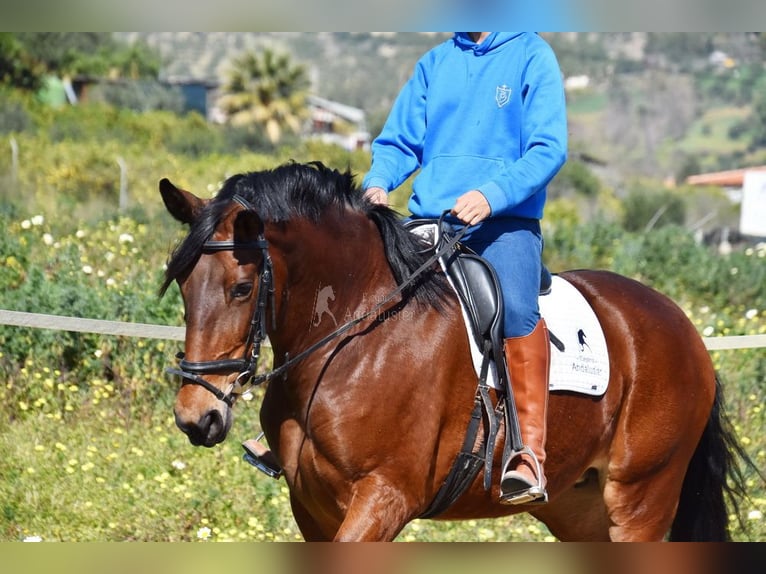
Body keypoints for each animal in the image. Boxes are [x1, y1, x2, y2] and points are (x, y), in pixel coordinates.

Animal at [159, 162, 752, 544]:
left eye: (241, 288)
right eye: (183, 285)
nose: (195, 416)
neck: (358, 334)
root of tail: (687, 331)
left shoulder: (384, 498)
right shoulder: (311, 506)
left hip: (639, 502)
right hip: (579, 508)